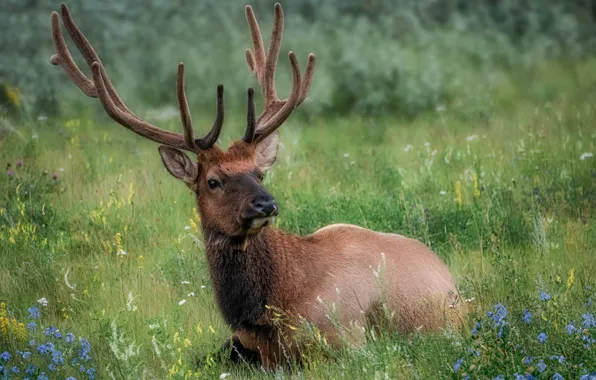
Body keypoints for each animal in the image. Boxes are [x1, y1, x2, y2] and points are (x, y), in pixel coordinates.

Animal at [50, 2, 460, 370]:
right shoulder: (239, 342)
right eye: (213, 181)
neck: (270, 309)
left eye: (258, 173)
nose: (266, 205)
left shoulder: (349, 337)